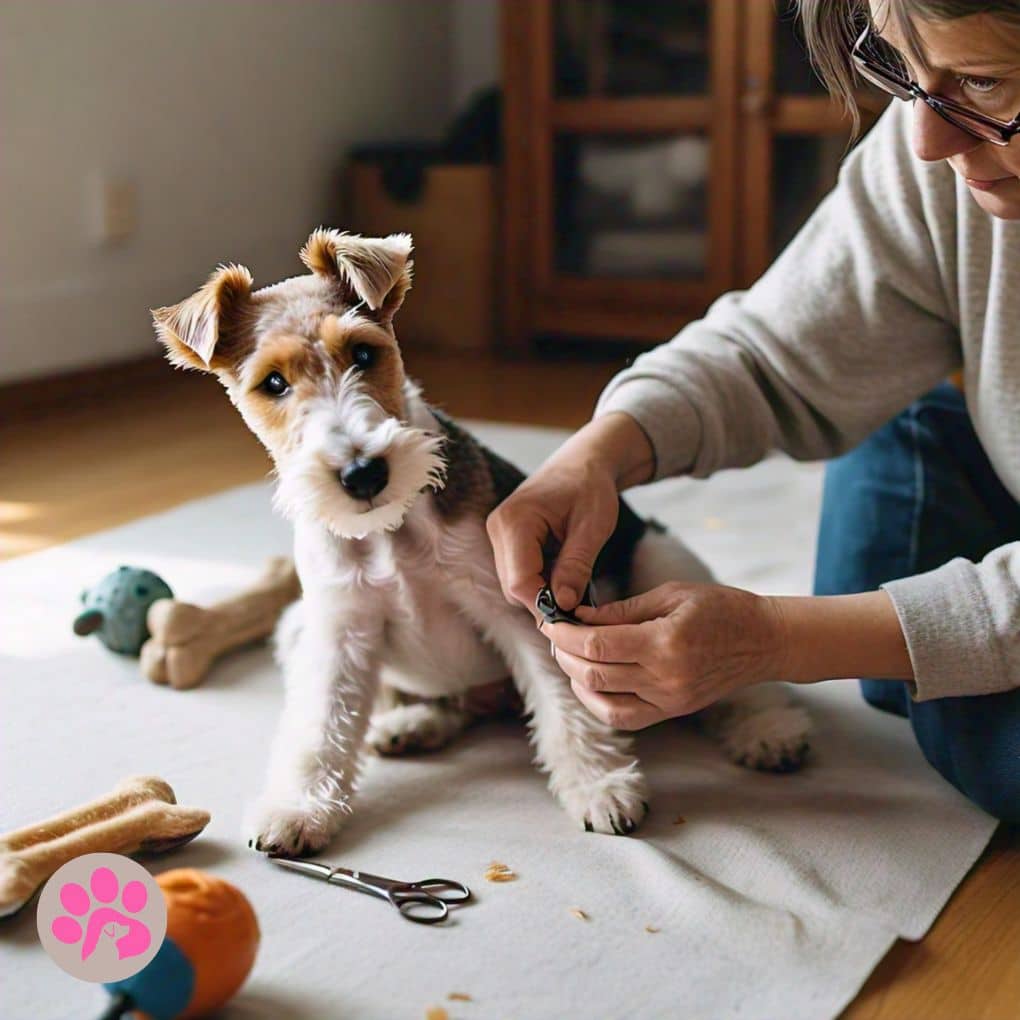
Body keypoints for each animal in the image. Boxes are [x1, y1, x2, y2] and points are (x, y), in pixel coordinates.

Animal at [150, 229, 811, 852]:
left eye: (364, 351)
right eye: (274, 383)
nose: (364, 474)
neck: (393, 529)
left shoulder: (519, 608)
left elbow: (566, 706)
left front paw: (600, 787)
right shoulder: (340, 629)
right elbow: (319, 729)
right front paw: (297, 811)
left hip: (660, 559)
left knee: (737, 679)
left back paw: (771, 734)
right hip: (294, 626)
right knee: (446, 706)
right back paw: (409, 726)